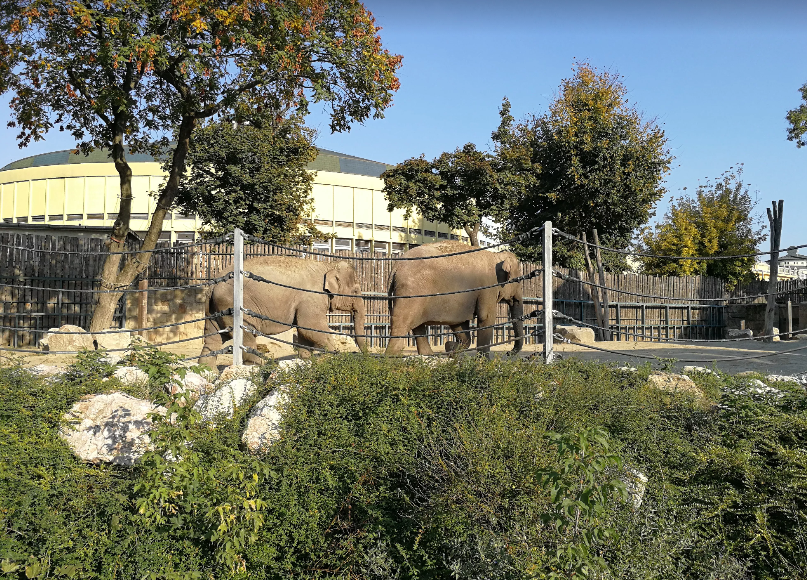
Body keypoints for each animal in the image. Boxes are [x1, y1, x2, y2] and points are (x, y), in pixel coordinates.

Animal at [200, 255, 370, 368]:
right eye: (355, 291)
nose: (364, 356)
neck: (327, 265)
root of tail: (213, 283)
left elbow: (304, 331)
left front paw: (306, 360)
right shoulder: (311, 298)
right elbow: (310, 327)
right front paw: (335, 356)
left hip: (213, 309)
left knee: (212, 339)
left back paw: (207, 371)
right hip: (233, 306)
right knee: (246, 336)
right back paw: (257, 367)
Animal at [384, 240, 528, 358]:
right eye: (519, 280)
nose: (509, 352)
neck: (496, 256)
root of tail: (396, 267)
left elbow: (461, 326)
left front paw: (450, 348)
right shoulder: (488, 288)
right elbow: (485, 317)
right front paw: (483, 361)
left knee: (417, 326)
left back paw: (429, 355)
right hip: (411, 293)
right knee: (401, 324)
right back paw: (392, 358)